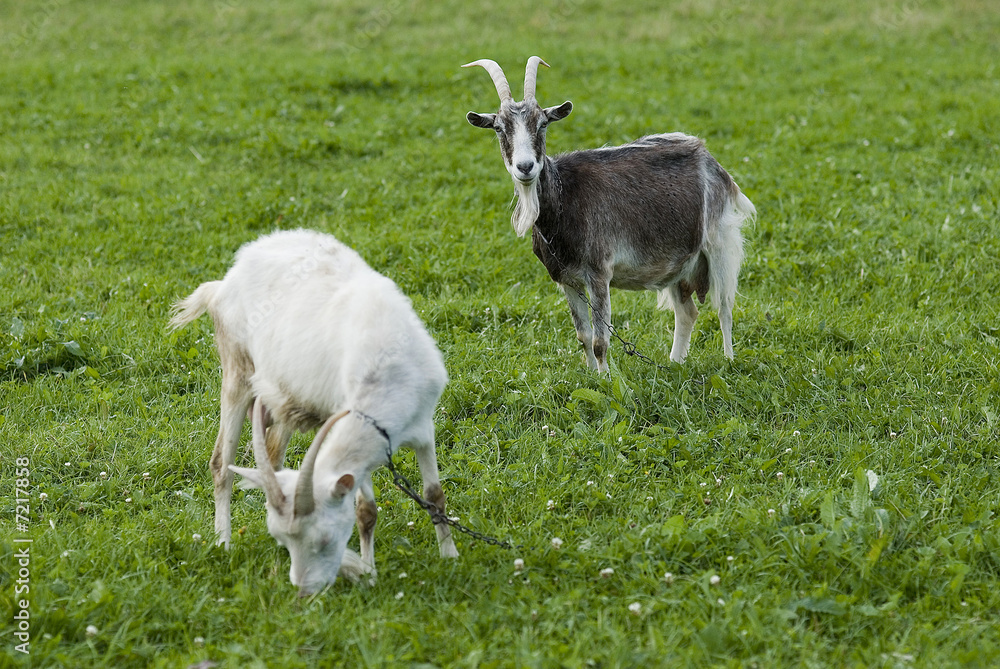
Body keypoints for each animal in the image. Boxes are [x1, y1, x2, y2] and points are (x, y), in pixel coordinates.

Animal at [169, 229, 458, 595]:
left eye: (323, 540)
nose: (304, 590)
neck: (386, 364)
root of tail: (225, 281)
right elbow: (366, 510)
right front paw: (368, 572)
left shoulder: (424, 428)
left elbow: (435, 494)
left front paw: (450, 557)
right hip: (237, 372)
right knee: (221, 463)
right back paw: (223, 543)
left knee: (272, 457)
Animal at [464, 57, 756, 371]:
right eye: (499, 128)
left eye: (542, 124)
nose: (525, 166)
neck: (564, 201)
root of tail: (710, 159)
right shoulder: (567, 280)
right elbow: (583, 335)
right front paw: (590, 375)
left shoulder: (599, 273)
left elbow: (600, 340)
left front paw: (605, 379)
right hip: (679, 262)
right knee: (687, 312)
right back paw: (675, 363)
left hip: (719, 244)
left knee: (724, 306)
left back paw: (728, 360)